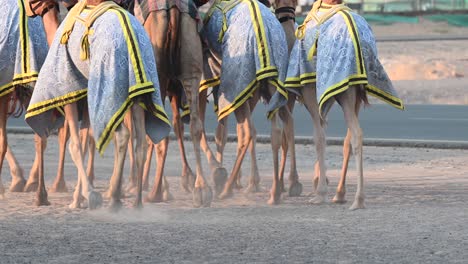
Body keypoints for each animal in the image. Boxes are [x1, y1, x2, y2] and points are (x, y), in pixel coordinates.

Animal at [24, 0, 171, 210]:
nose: (28, 7)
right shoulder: (87, 101)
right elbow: (86, 142)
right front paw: (79, 198)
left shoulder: (71, 93)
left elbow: (76, 145)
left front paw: (86, 196)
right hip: (139, 93)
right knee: (141, 142)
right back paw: (137, 204)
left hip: (110, 87)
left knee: (123, 134)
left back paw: (115, 200)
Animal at [284, 0, 404, 210]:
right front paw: (326, 188)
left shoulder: (310, 90)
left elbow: (318, 137)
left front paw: (319, 192)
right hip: (354, 93)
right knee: (353, 135)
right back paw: (346, 195)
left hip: (345, 91)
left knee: (354, 133)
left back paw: (357, 199)